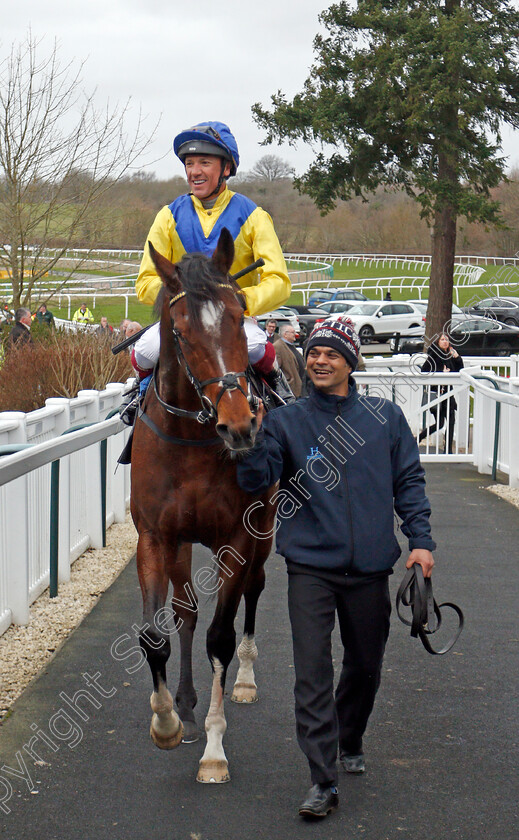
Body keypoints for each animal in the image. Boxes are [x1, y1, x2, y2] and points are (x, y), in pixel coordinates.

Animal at [130, 228, 276, 780]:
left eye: (238, 314)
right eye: (182, 331)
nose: (239, 425)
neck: (192, 439)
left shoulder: (237, 537)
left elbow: (221, 637)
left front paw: (215, 749)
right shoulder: (155, 536)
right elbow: (158, 633)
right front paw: (167, 720)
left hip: (266, 531)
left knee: (254, 589)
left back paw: (244, 681)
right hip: (182, 543)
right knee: (186, 610)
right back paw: (188, 705)